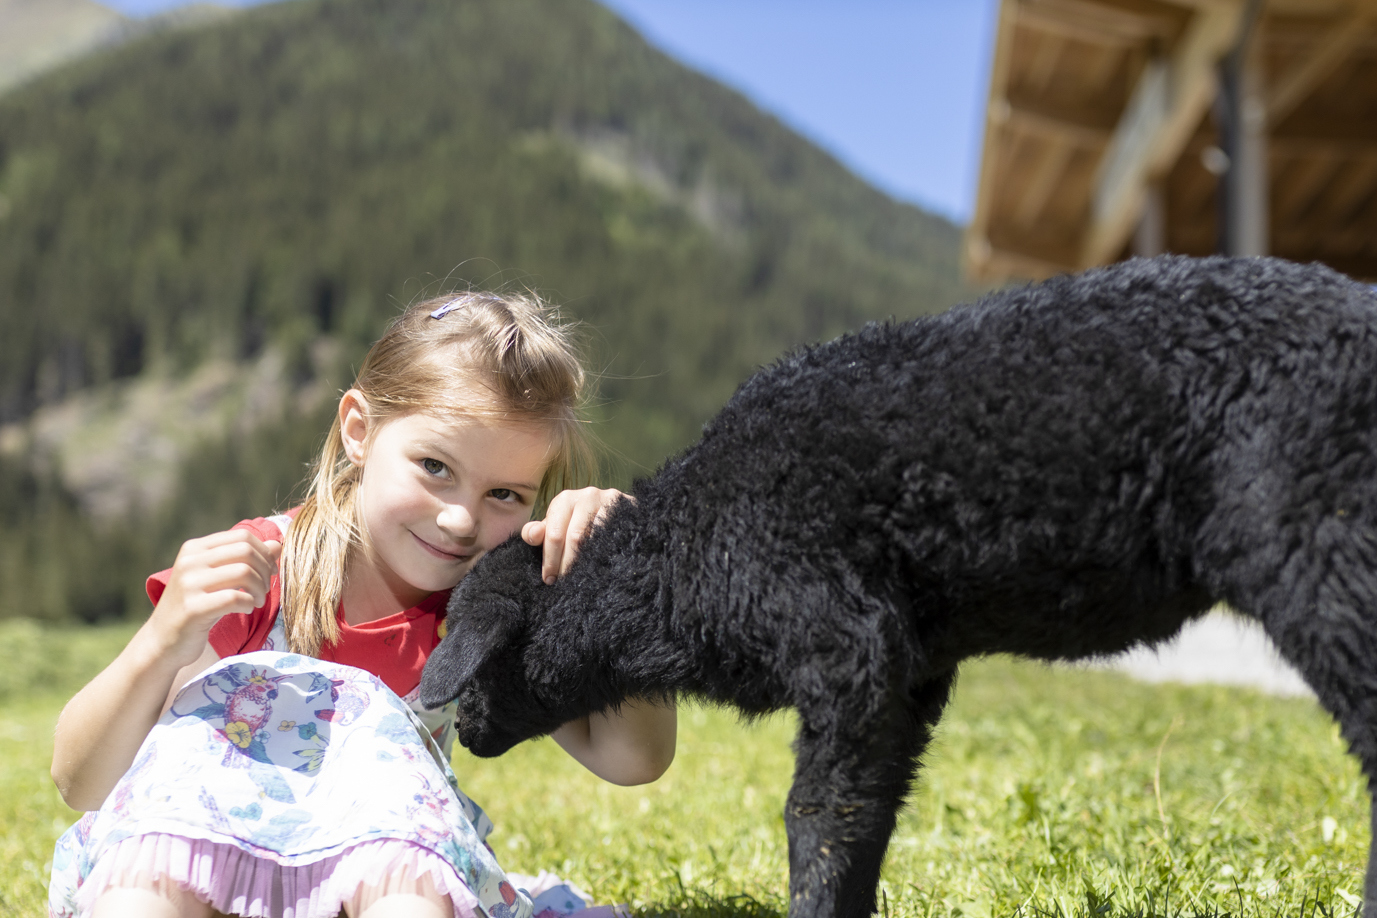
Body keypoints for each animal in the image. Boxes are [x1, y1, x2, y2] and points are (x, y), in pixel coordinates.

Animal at [421, 255, 1377, 918]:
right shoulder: (909, 671)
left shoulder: (845, 643)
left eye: (466, 640)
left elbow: (819, 814)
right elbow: (871, 813)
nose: (463, 733)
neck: (690, 555)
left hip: (1320, 540)